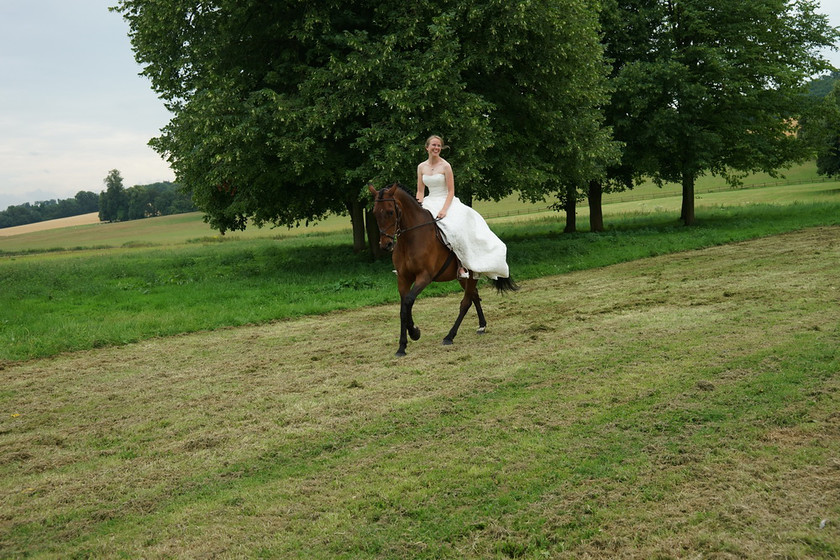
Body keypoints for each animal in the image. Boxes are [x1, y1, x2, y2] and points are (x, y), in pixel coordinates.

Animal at [370, 184, 516, 358]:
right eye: (374, 213)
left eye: (390, 212)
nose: (385, 245)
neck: (410, 239)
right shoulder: (403, 278)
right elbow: (403, 308)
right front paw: (402, 346)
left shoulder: (424, 277)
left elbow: (408, 301)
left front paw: (414, 333)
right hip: (463, 277)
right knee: (474, 296)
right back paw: (482, 326)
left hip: (471, 274)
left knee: (466, 302)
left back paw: (449, 336)